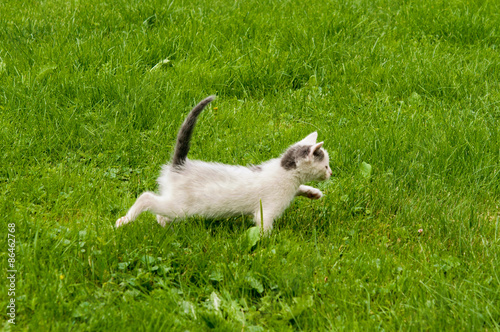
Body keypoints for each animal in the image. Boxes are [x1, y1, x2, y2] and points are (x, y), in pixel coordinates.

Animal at [116, 94, 332, 232]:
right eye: (326, 165)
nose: (331, 173)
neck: (284, 172)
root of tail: (180, 165)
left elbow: (300, 188)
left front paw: (313, 192)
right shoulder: (268, 208)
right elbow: (263, 226)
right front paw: (267, 244)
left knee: (159, 211)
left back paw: (163, 225)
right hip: (180, 207)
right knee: (146, 198)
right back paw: (125, 220)